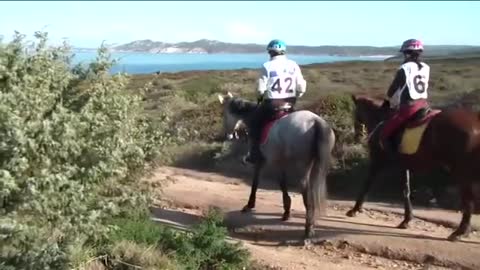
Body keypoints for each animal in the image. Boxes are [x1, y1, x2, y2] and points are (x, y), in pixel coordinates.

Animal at [218, 92, 334, 239]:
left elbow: (259, 182)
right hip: (316, 166)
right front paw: (286, 210)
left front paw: (250, 205)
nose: (228, 135)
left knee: (304, 188)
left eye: (224, 114)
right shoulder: (280, 162)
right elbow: (280, 183)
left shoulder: (267, 161)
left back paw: (308, 229)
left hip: (302, 165)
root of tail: (315, 122)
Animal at [344, 94, 480, 242]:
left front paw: (354, 210)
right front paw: (406, 220)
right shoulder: (403, 165)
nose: (358, 136)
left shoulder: (378, 161)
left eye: (356, 113)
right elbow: (406, 190)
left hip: (462, 171)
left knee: (468, 200)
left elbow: (366, 184)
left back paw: (460, 232)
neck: (382, 119)